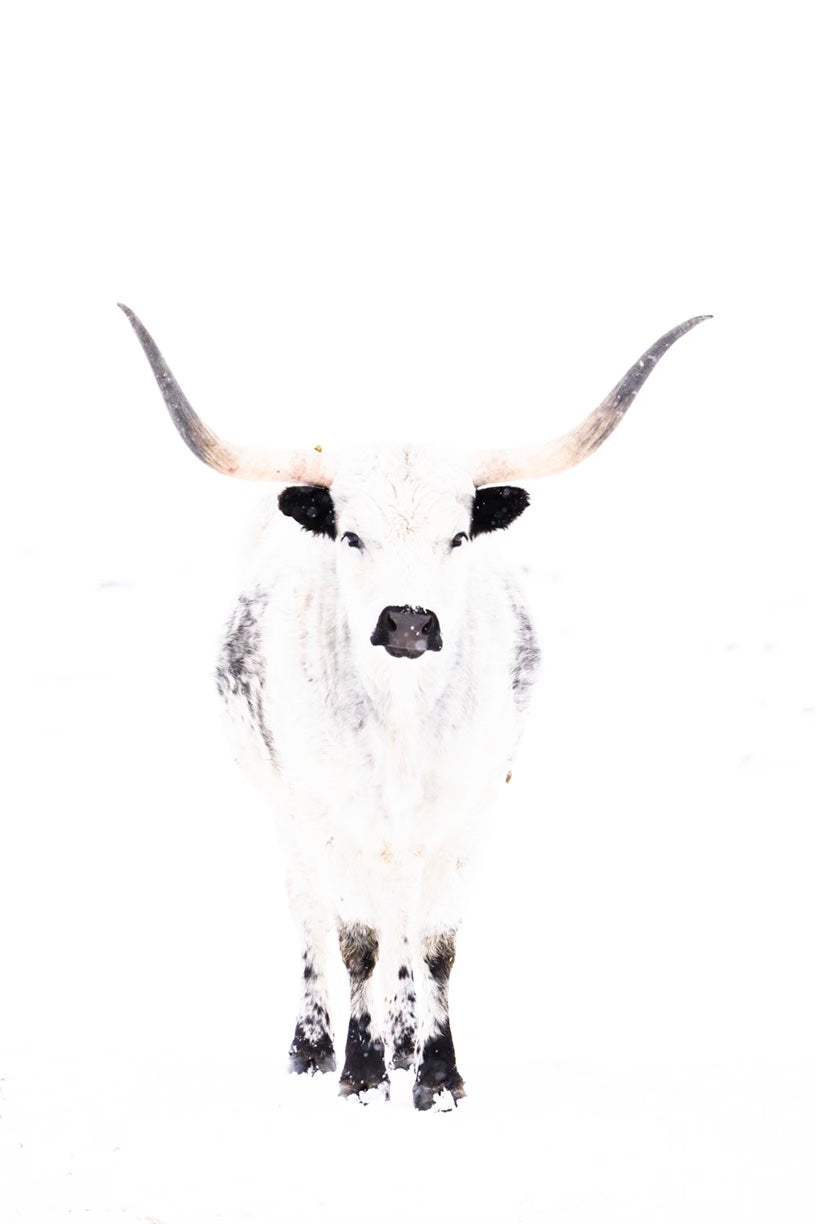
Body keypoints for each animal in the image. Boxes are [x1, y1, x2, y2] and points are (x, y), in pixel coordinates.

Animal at [120, 304, 708, 1110]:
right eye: (350, 534)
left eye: (457, 535)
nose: (407, 622)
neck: (401, 718)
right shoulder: (328, 816)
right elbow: (356, 940)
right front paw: (360, 1072)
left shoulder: (470, 812)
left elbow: (434, 946)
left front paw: (436, 1071)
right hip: (286, 809)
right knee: (311, 913)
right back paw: (315, 1044)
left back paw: (403, 1036)